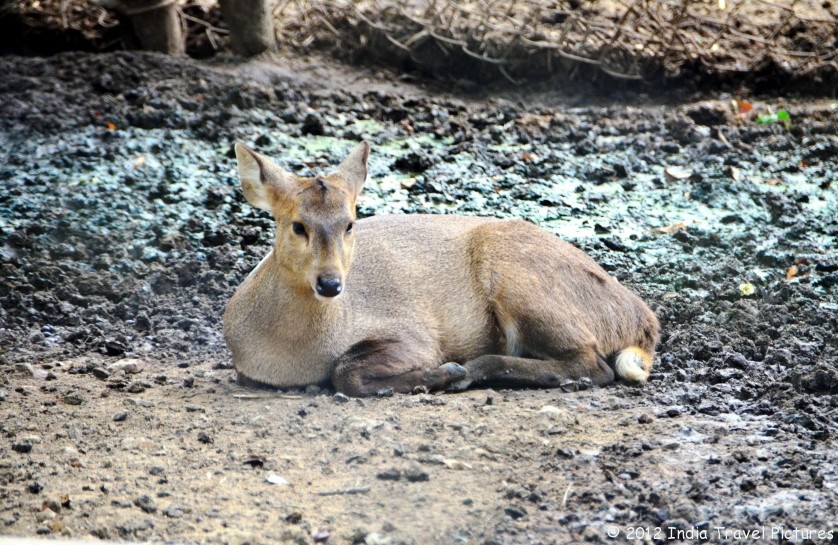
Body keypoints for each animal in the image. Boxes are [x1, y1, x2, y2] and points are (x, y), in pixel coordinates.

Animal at [223, 140, 664, 396]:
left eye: (349, 223)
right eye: (297, 225)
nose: (330, 283)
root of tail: (641, 319)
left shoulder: (415, 335)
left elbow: (345, 370)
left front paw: (439, 375)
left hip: (519, 280)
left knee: (593, 365)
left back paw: (472, 370)